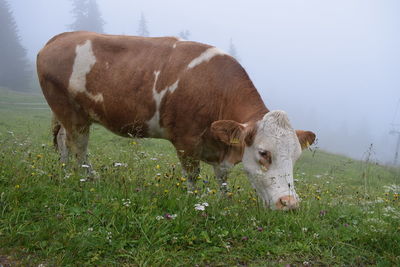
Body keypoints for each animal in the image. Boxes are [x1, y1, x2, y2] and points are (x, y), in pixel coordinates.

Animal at [36, 31, 316, 211]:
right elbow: (192, 176)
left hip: (68, 114)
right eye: (263, 153)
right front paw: (195, 202)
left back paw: (64, 171)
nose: (290, 204)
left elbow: (222, 176)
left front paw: (224, 201)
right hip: (69, 110)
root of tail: (59, 38)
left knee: (63, 140)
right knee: (79, 147)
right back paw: (89, 180)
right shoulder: (185, 139)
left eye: (296, 157)